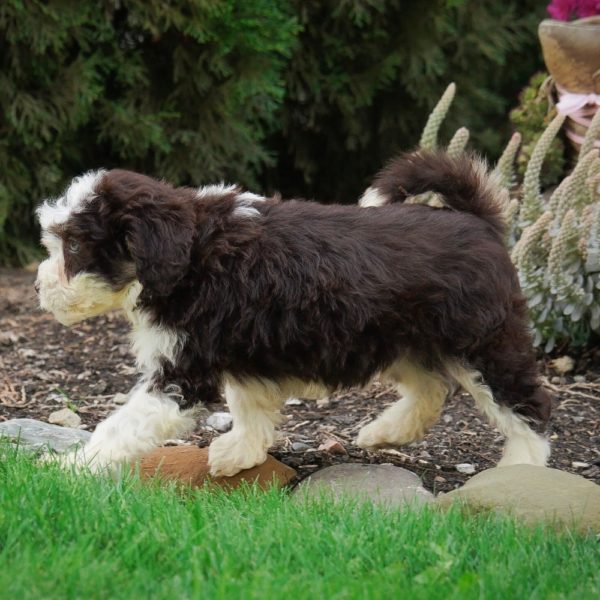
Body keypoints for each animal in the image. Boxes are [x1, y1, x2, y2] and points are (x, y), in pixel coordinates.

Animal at [36, 152, 552, 476]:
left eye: (75, 246)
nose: (39, 288)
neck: (192, 253)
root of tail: (479, 222)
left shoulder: (183, 373)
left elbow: (119, 426)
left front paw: (67, 469)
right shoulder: (243, 352)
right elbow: (249, 408)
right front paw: (239, 455)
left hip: (484, 344)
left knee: (526, 403)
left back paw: (520, 470)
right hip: (403, 340)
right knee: (430, 389)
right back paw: (382, 432)